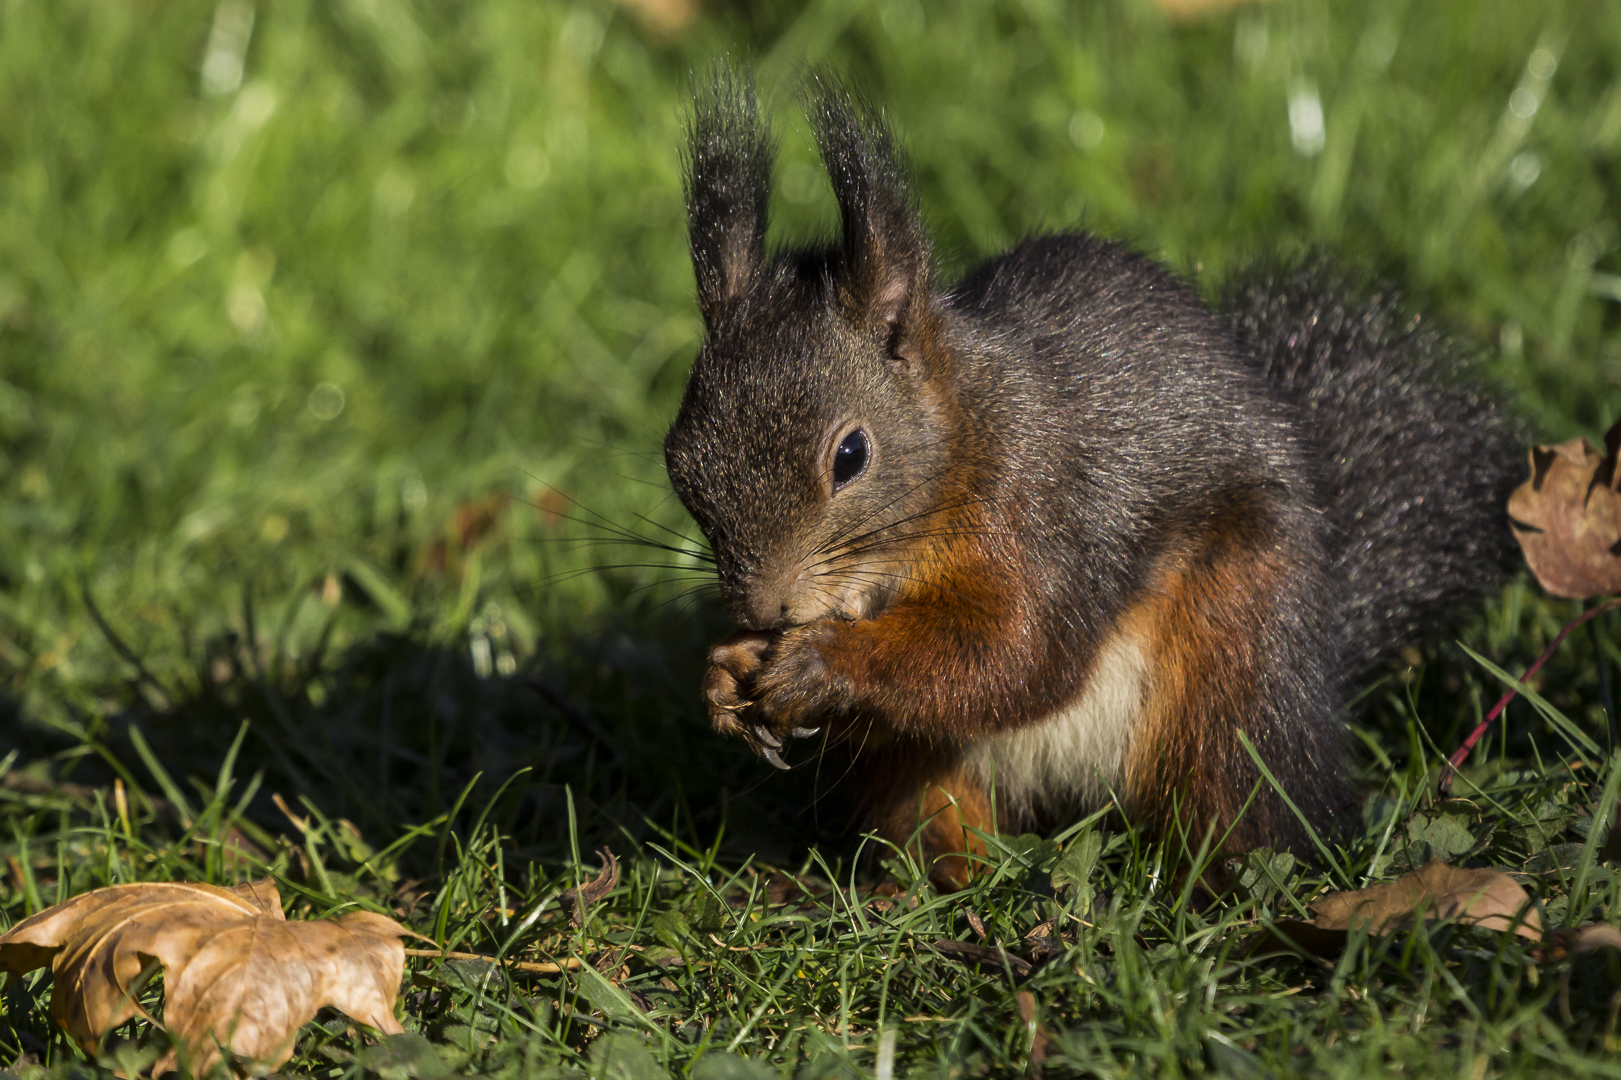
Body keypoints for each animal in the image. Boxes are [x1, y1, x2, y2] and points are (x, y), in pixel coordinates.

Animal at [658, 69, 1517, 888]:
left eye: (850, 456)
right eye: (679, 456)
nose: (764, 608)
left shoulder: (1042, 509)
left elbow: (1015, 654)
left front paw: (822, 662)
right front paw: (725, 676)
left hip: (1235, 663)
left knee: (1238, 800)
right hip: (923, 777)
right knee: (942, 825)